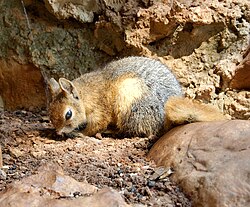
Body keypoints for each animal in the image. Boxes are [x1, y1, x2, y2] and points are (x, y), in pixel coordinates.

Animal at [47, 56, 227, 137]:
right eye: (49, 113)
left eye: (68, 114)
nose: (58, 133)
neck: (86, 95)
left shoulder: (100, 110)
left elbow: (96, 125)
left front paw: (82, 133)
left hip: (128, 99)